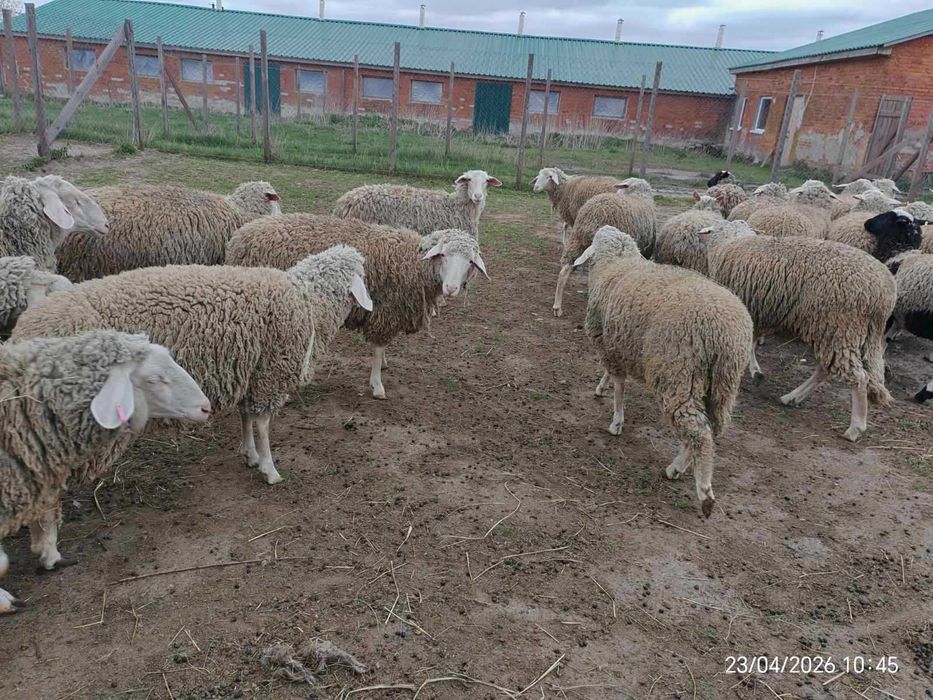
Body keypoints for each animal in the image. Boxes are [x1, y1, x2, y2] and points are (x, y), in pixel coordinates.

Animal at [14, 246, 372, 486]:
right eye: (363, 276)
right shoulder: (269, 373)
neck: (308, 301)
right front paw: (269, 468)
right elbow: (262, 425)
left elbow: (246, 418)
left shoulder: (250, 371)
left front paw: (249, 455)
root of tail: (27, 327)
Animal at [226, 214, 488, 400]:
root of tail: (239, 237)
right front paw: (377, 384)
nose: (451, 288)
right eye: (443, 255)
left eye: (469, 261)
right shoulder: (385, 311)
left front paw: (383, 365)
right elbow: (379, 348)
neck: (412, 262)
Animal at [572, 225, 753, 517]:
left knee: (698, 431)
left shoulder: (607, 340)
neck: (616, 264)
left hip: (678, 372)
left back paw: (700, 489)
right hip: (723, 383)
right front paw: (601, 386)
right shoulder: (616, 344)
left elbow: (620, 385)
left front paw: (616, 422)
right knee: (710, 428)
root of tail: (726, 332)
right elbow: (612, 376)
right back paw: (679, 467)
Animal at [699, 219, 896, 442]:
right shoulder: (756, 311)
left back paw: (855, 428)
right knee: (828, 369)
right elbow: (752, 342)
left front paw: (753, 370)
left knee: (859, 377)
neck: (732, 241)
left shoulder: (748, 308)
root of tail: (884, 294)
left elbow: (750, 343)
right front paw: (755, 371)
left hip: (841, 326)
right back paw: (793, 398)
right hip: (844, 332)